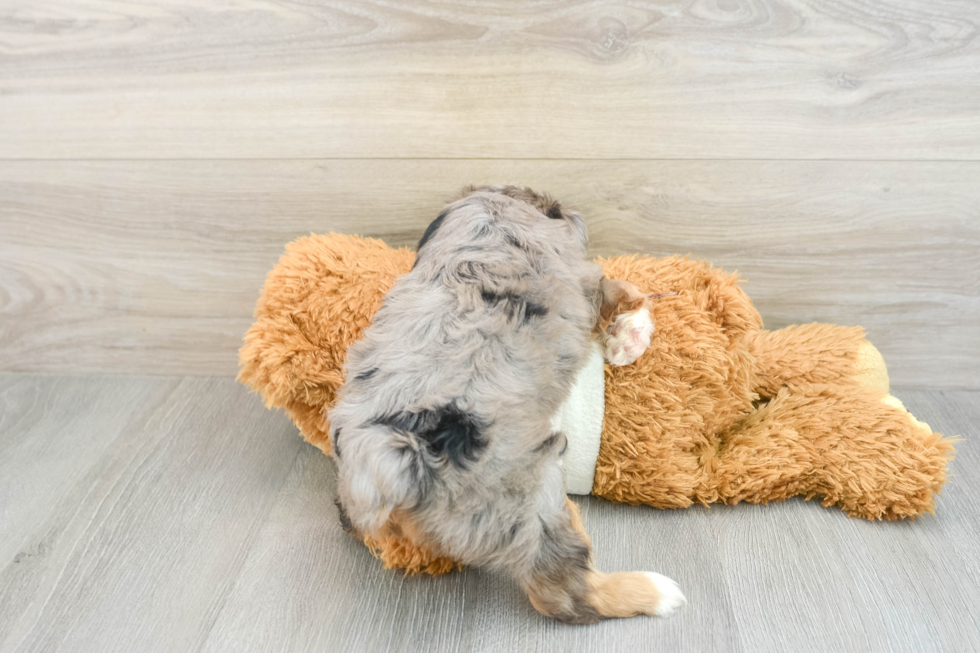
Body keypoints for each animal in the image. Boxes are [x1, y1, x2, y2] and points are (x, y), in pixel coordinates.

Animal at [330, 185, 680, 620]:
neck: (494, 214)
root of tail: (397, 464)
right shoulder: (586, 281)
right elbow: (623, 290)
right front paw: (630, 338)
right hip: (533, 500)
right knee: (563, 592)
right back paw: (655, 592)